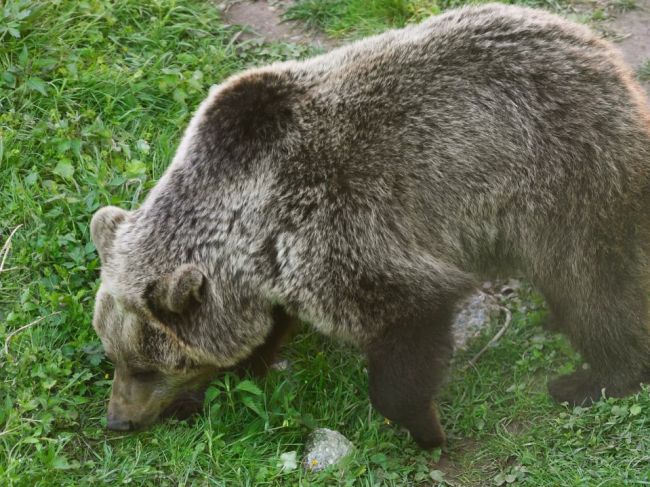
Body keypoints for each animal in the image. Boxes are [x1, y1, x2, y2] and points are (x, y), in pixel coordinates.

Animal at [90, 2, 648, 450]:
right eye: (114, 355)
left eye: (148, 366)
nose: (118, 421)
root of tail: (602, 55)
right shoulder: (275, 265)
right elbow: (268, 327)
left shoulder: (331, 225)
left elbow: (409, 315)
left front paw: (426, 429)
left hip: (564, 175)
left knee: (591, 284)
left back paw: (593, 378)